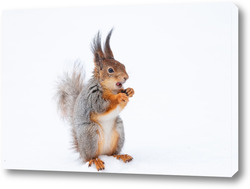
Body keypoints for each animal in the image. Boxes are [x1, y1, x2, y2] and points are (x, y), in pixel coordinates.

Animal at [55, 28, 135, 171]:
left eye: (123, 65)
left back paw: (121, 156)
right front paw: (119, 97)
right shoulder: (93, 98)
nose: (126, 77)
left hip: (118, 130)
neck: (110, 89)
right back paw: (96, 161)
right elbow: (103, 106)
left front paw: (130, 91)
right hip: (90, 134)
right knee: (90, 157)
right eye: (110, 70)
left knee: (112, 154)